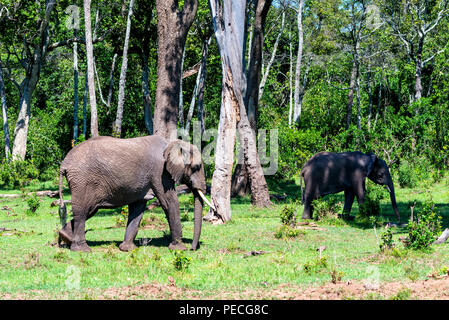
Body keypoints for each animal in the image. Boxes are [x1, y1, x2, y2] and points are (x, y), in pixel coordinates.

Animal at [56, 135, 212, 252]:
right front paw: (179, 249)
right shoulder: (159, 172)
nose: (192, 248)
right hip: (82, 180)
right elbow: (169, 202)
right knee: (83, 211)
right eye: (196, 167)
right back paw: (82, 250)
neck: (171, 143)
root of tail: (64, 164)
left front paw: (127, 249)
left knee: (89, 209)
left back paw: (65, 237)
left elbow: (138, 208)